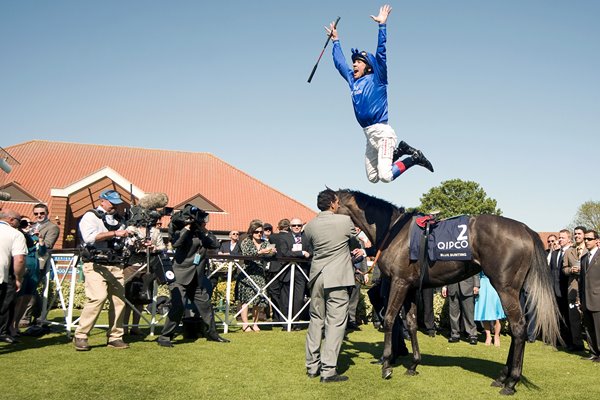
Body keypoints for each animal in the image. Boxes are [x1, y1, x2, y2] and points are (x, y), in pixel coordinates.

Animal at [338, 189, 564, 396]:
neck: (394, 231)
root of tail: (525, 229)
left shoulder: (399, 282)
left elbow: (390, 319)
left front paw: (386, 364)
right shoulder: (410, 286)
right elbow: (411, 323)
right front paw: (414, 364)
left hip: (505, 288)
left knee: (518, 328)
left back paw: (511, 382)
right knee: (519, 328)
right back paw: (503, 377)